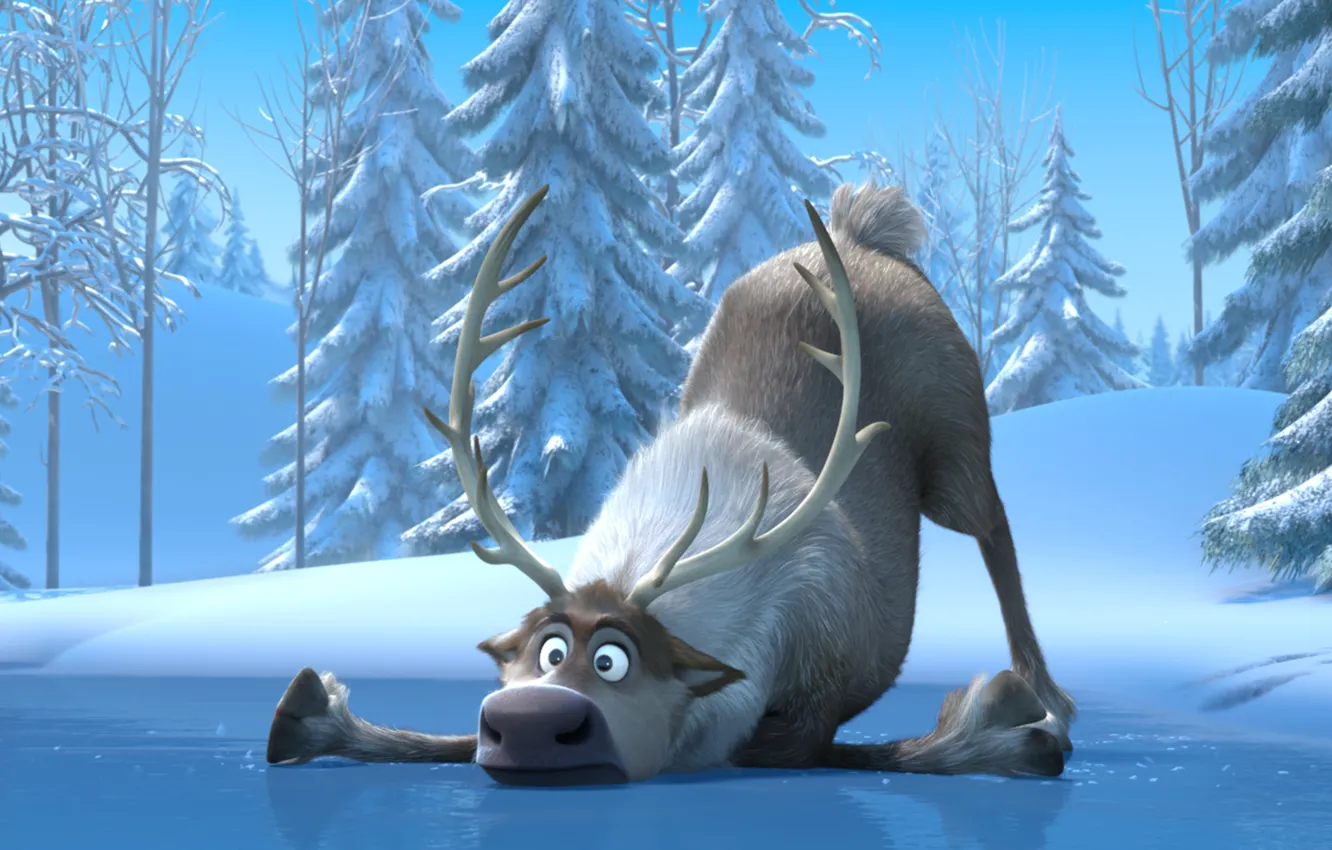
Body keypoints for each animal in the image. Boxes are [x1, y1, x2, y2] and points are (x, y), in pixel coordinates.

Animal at [264, 182, 1077, 787]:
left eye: (613, 658)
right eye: (547, 652)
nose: (530, 722)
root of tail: (862, 230)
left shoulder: (811, 706)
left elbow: (848, 750)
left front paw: (1015, 725)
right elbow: (448, 742)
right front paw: (311, 714)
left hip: (957, 442)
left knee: (996, 530)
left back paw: (1052, 699)